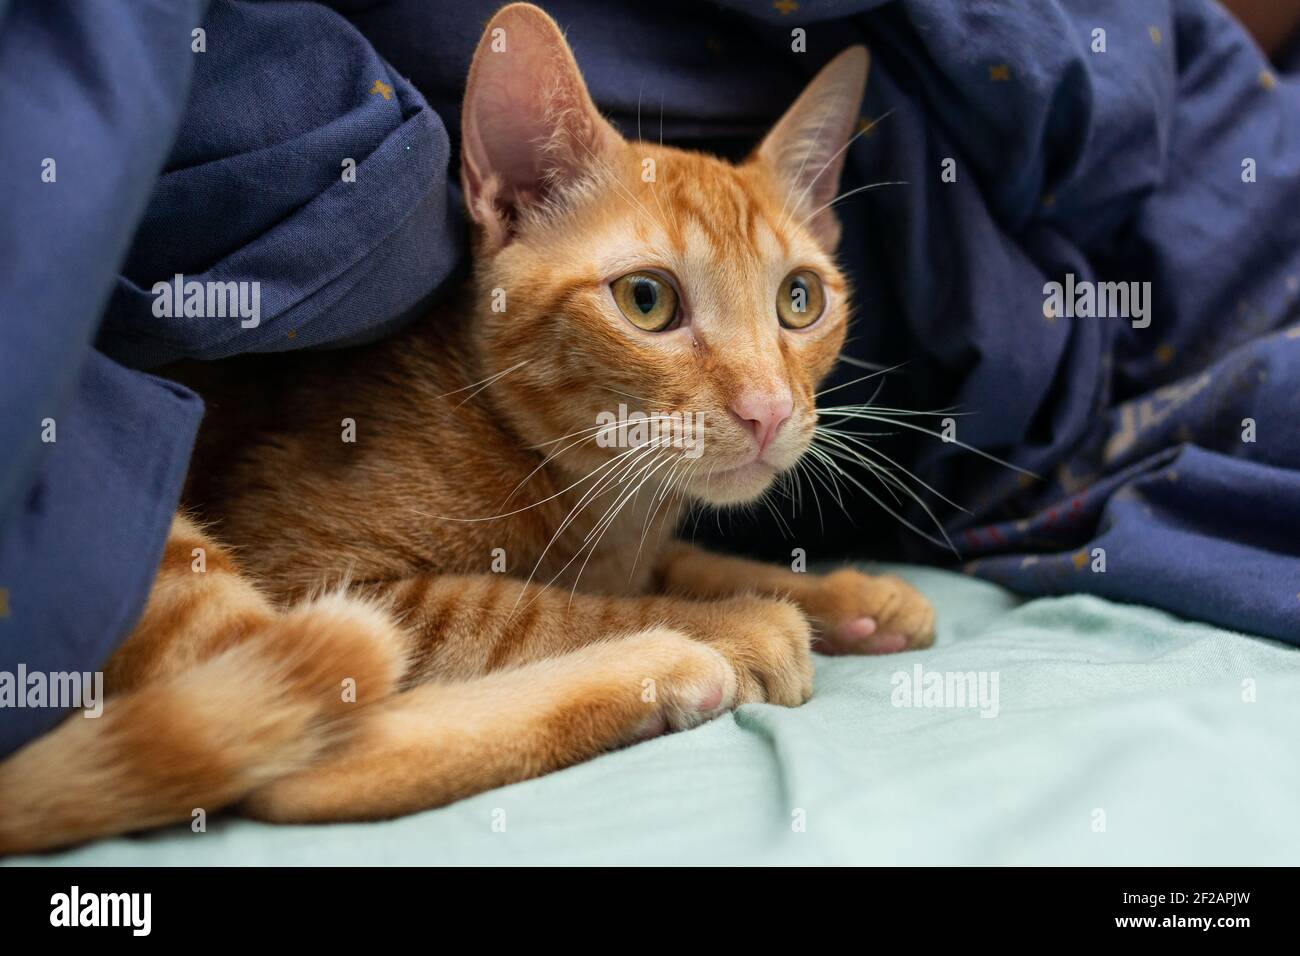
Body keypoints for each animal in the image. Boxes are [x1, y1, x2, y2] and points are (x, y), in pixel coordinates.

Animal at [0, 0, 935, 853]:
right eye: (647, 300)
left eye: (799, 299)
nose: (769, 408)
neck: (590, 499)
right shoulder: (317, 570)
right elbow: (524, 609)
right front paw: (736, 620)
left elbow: (683, 562)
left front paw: (844, 595)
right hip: (152, 546)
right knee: (297, 768)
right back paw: (661, 668)